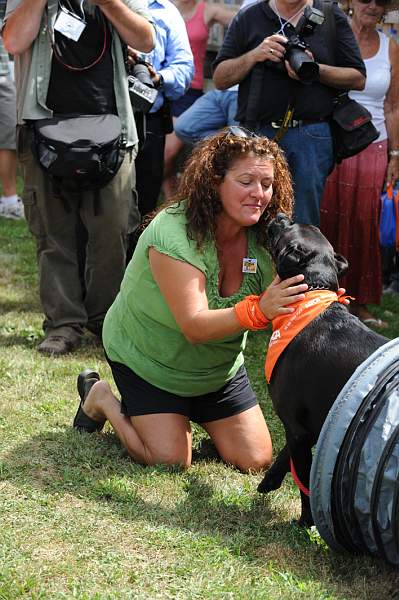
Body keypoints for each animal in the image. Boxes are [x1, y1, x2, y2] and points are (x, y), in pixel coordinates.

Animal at [258, 214, 390, 524]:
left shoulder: (297, 428)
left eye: (288, 228)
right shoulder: (309, 426)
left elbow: (304, 481)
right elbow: (286, 457)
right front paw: (269, 481)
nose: (280, 215)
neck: (313, 293)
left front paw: (306, 522)